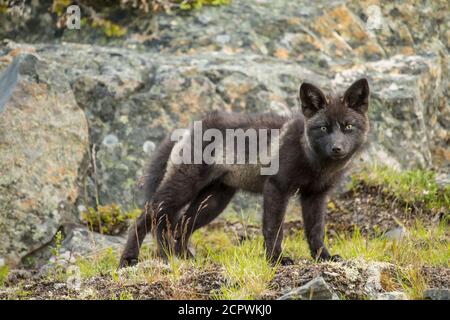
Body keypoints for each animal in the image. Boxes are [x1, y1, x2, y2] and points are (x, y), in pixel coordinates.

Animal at [118, 78, 370, 268]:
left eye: (348, 126)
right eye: (323, 127)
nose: (337, 148)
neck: (314, 162)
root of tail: (190, 128)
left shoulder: (315, 196)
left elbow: (315, 231)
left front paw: (323, 258)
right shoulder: (277, 188)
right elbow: (273, 229)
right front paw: (276, 260)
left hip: (213, 201)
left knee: (180, 226)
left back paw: (183, 259)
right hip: (183, 190)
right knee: (143, 220)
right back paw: (128, 260)